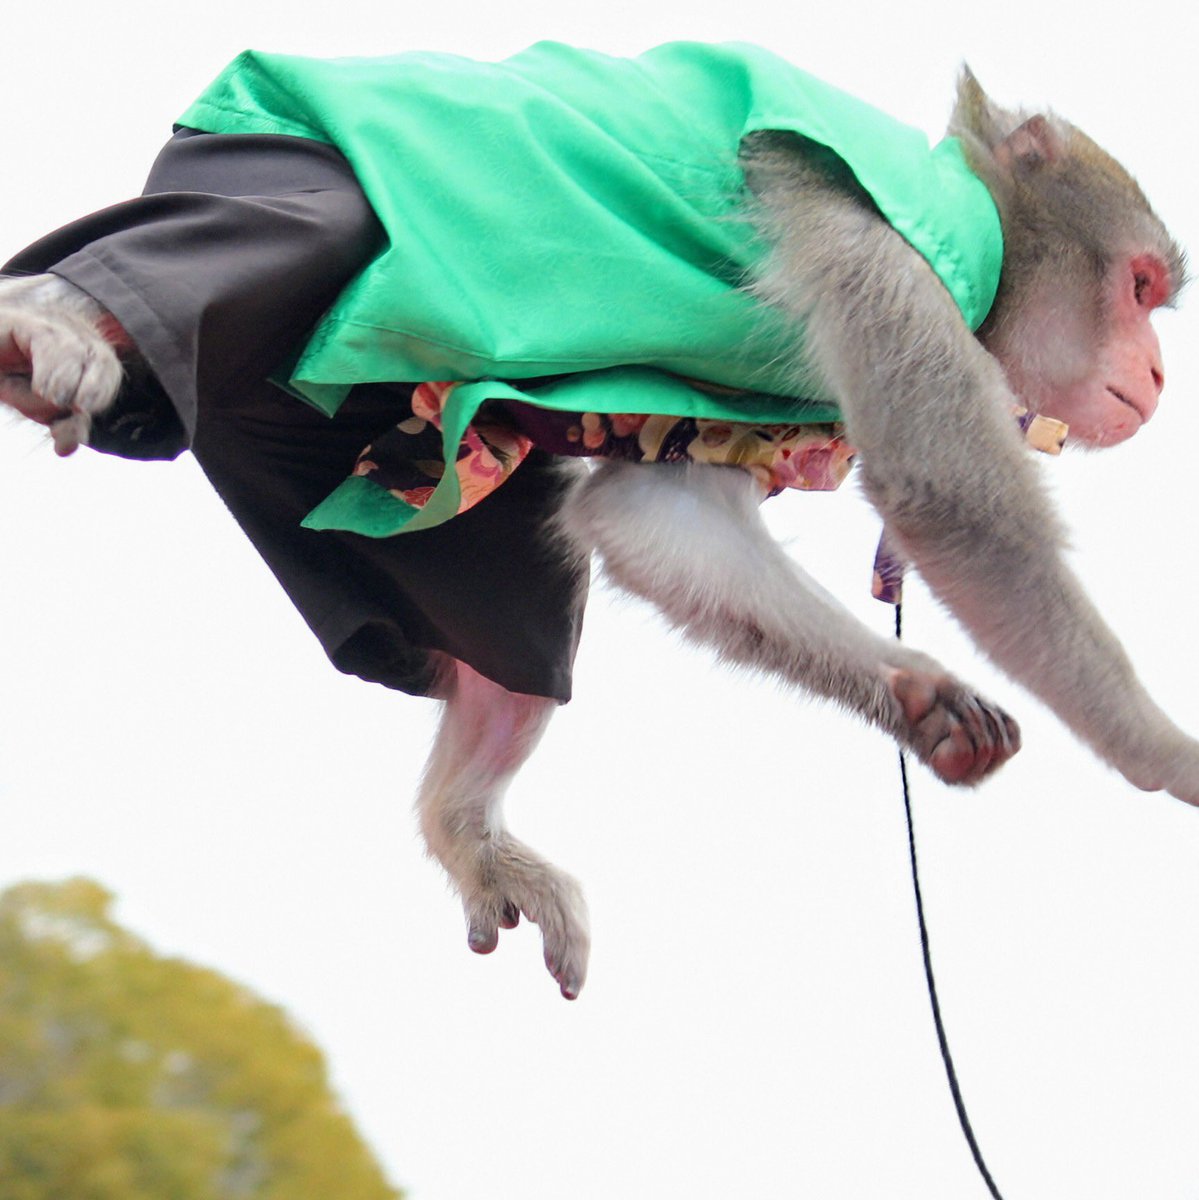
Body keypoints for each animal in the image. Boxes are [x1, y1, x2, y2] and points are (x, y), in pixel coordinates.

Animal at [0, 45, 1191, 1001]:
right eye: (1138, 287)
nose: (1156, 374)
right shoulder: (867, 244)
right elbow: (950, 497)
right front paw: (1164, 753)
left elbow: (654, 515)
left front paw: (918, 694)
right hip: (263, 164)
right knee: (305, 219)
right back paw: (55, 316)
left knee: (511, 623)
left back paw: (466, 820)